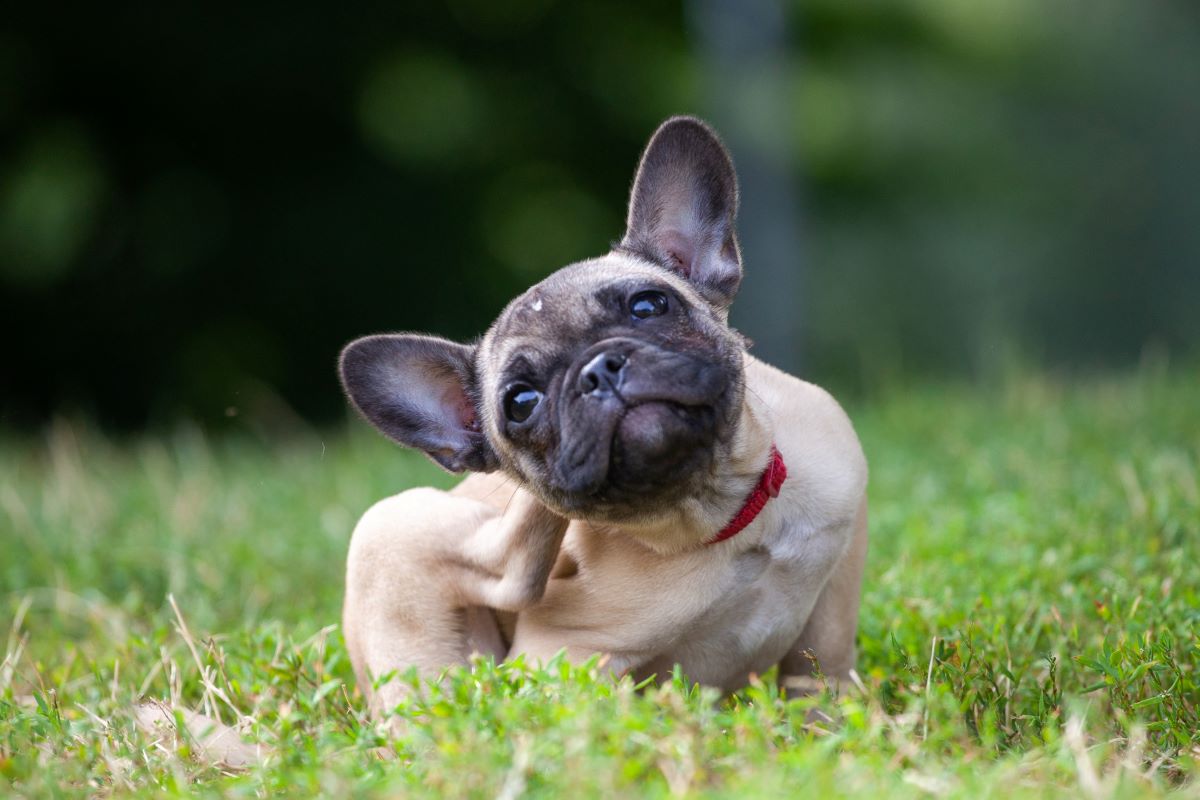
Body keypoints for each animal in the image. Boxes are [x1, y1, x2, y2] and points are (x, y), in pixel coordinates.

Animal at [336, 113, 864, 719]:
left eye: (648, 305)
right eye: (520, 402)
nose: (599, 370)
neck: (721, 515)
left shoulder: (840, 561)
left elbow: (821, 663)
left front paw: (825, 721)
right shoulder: (558, 662)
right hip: (393, 534)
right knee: (507, 573)